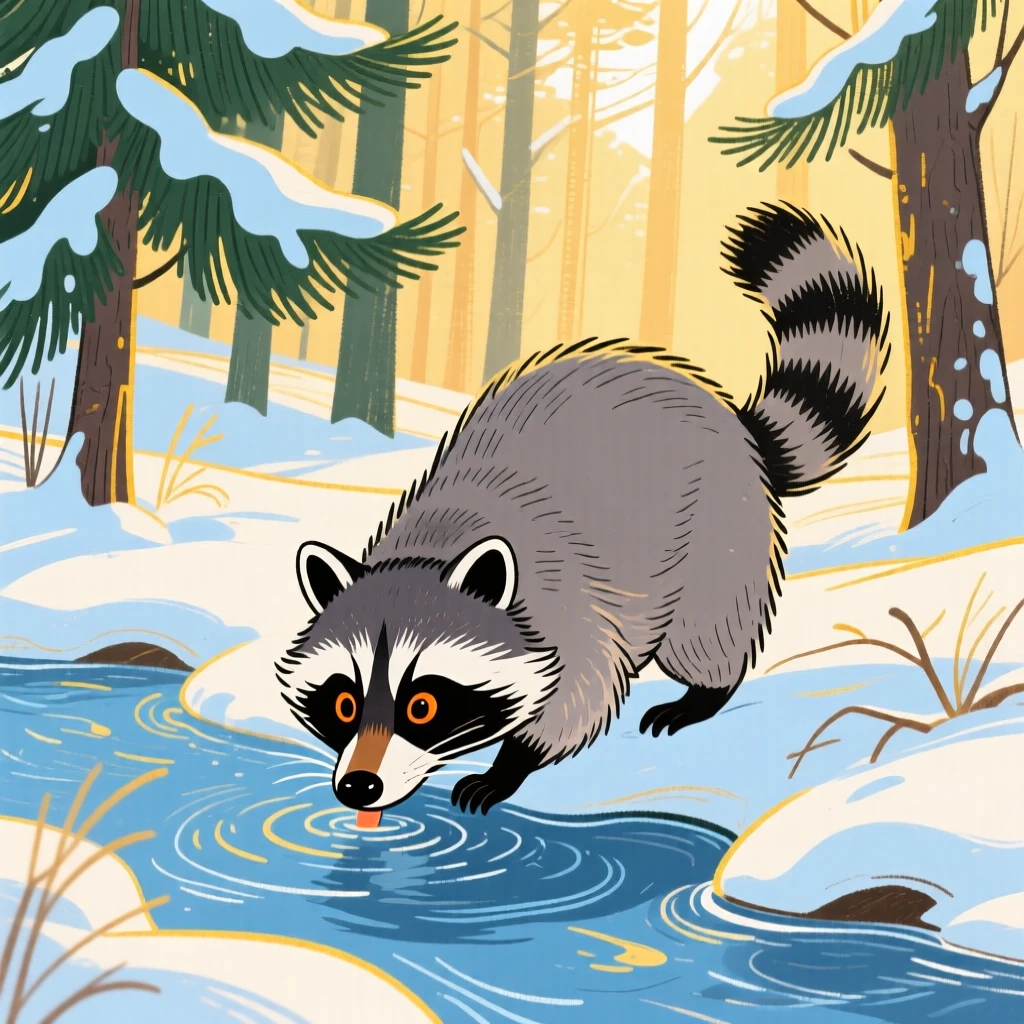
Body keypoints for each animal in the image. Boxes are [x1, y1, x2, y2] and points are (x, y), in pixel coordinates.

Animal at [275, 203, 890, 816]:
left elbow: (579, 695)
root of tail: (734, 422)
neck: (434, 546)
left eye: (422, 705)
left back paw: (703, 692)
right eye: (344, 704)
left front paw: (508, 766)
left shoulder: (570, 607)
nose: (359, 786)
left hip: (721, 530)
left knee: (705, 631)